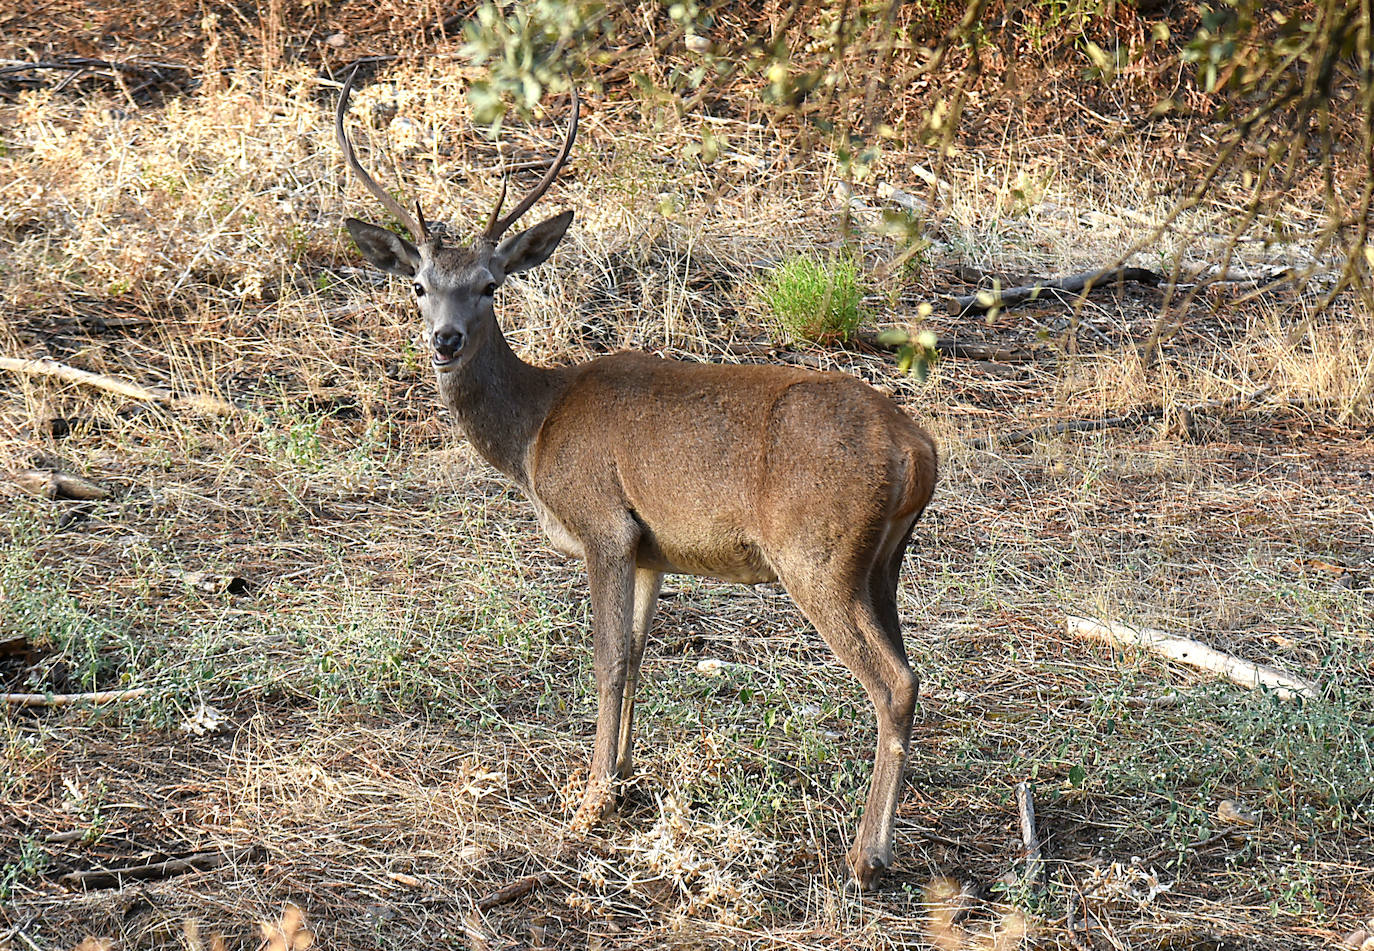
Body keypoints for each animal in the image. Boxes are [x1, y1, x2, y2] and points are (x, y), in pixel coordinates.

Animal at [335, 70, 934, 890]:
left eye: (489, 284)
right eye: (420, 286)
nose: (446, 340)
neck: (536, 431)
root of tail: (918, 452)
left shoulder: (604, 523)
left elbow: (607, 658)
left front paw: (590, 800)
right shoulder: (654, 549)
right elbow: (641, 653)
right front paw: (621, 776)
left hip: (819, 553)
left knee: (892, 681)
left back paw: (867, 855)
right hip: (884, 563)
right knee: (911, 668)